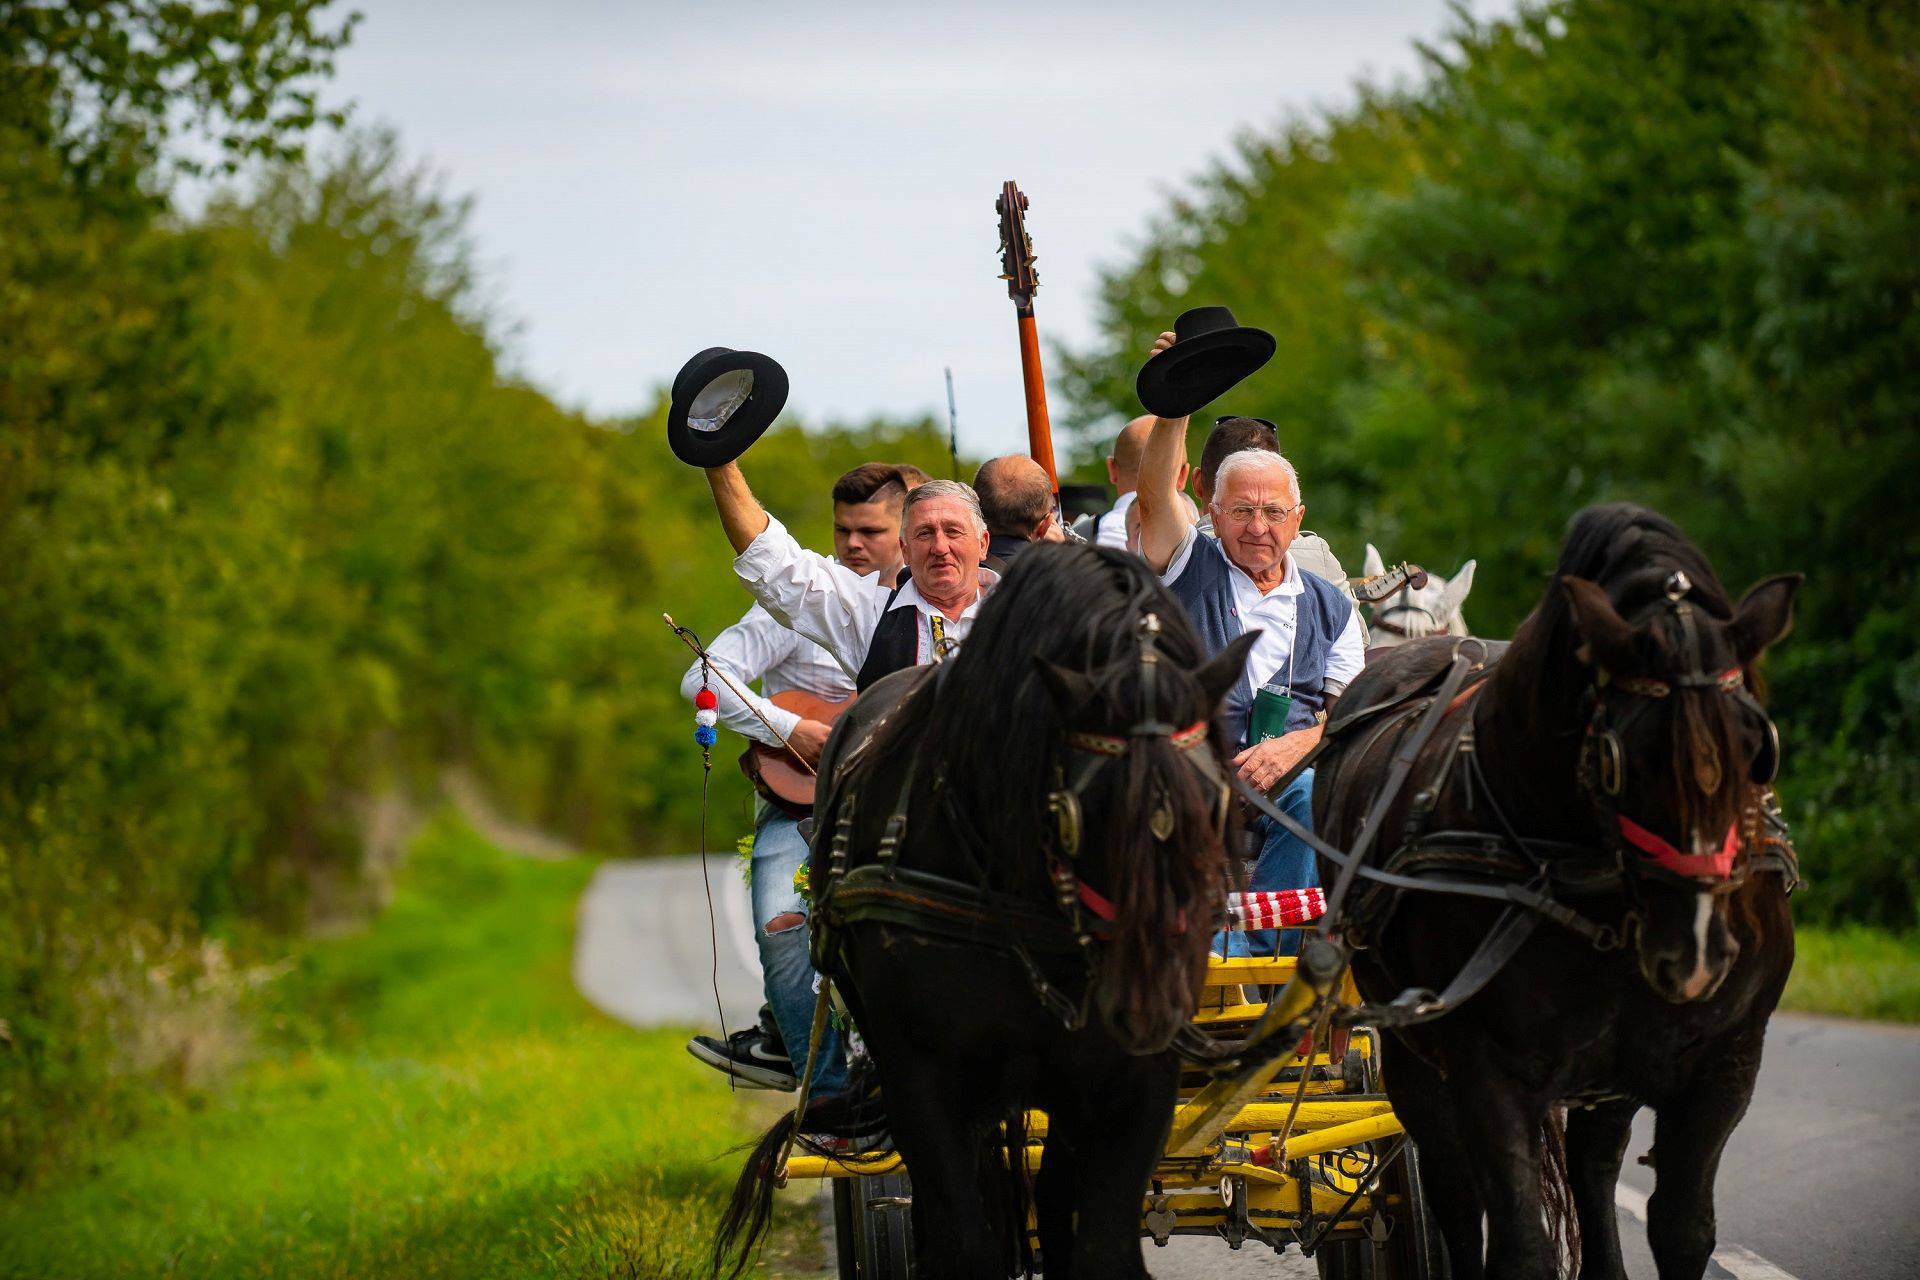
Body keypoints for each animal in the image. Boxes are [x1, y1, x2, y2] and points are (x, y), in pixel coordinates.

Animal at [714, 545, 1251, 1280]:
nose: (1148, 1002)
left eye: (1216, 798)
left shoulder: (1135, 1084)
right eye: (1078, 808)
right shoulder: (923, 1081)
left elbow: (1101, 1246)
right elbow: (961, 1241)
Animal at [1320, 506, 1797, 1280]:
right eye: (1622, 754)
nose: (1695, 951)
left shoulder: (1725, 1062)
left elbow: (1684, 1229)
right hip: (1411, 1051)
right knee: (1455, 1190)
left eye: (1760, 746)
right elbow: (1519, 1245)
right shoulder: (1485, 1069)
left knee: (1590, 1169)